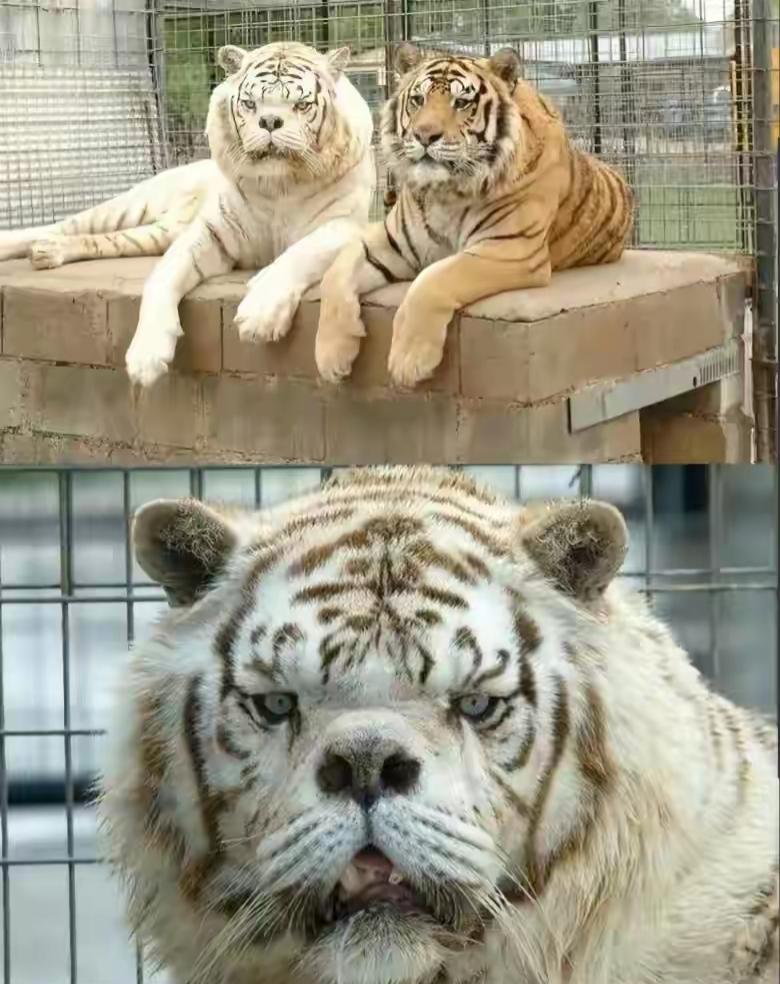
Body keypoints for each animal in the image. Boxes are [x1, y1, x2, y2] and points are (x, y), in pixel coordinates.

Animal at [0, 41, 374, 388]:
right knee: (65, 223)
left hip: (154, 233)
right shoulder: (209, 232)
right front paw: (145, 357)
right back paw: (24, 244)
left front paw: (259, 315)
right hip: (133, 206)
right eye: (250, 103)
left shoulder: (343, 226)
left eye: (301, 105)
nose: (269, 121)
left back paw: (46, 252)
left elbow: (298, 254)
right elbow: (162, 277)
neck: (279, 186)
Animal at [315, 45, 634, 388]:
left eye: (461, 102)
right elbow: (336, 272)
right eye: (418, 100)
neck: (445, 192)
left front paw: (409, 361)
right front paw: (331, 358)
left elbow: (434, 278)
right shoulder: (390, 240)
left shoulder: (510, 247)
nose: (424, 135)